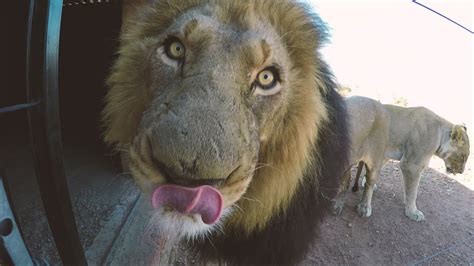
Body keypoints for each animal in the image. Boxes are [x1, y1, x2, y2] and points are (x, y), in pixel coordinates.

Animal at [334, 96, 470, 221]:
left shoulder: (386, 154)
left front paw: (366, 181)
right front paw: (413, 212)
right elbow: (413, 190)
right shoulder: (411, 165)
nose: (461, 172)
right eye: (463, 156)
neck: (440, 135)